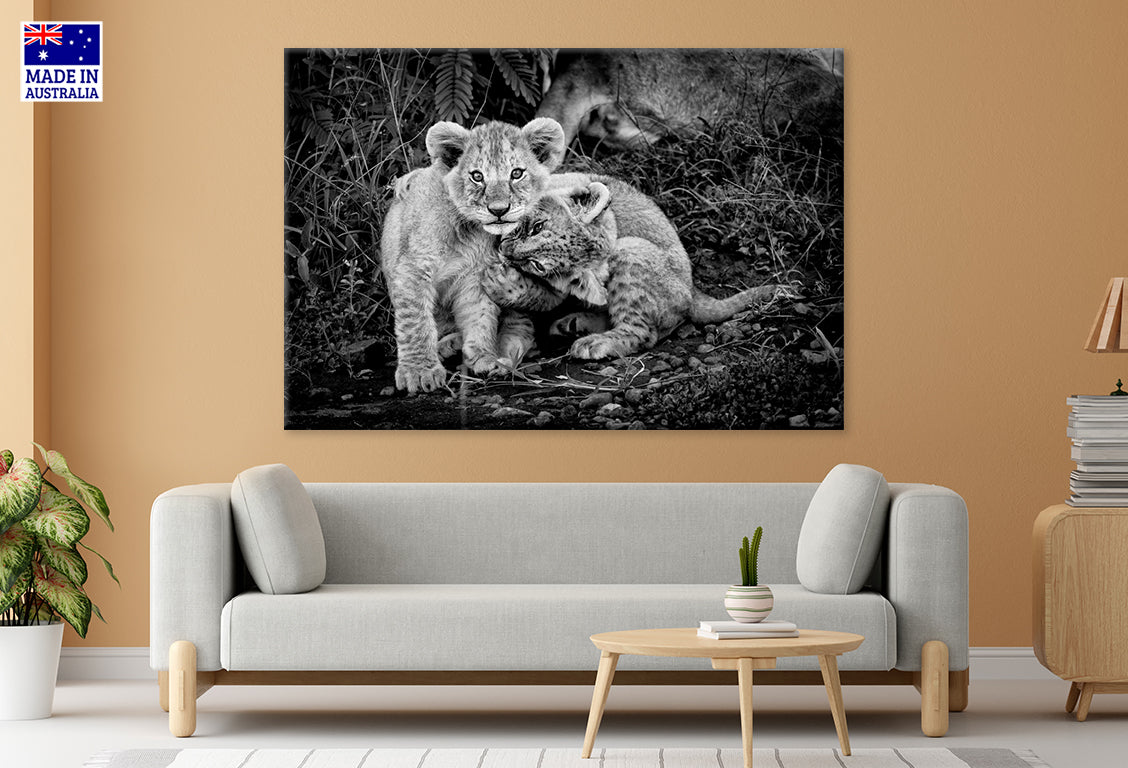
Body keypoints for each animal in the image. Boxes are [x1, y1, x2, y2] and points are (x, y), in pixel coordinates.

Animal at [379, 118, 566, 393]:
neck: (469, 232)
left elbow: (480, 318)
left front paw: (484, 357)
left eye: (516, 173)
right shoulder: (413, 268)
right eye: (477, 176)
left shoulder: (475, 277)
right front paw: (419, 371)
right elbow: (416, 322)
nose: (498, 210)